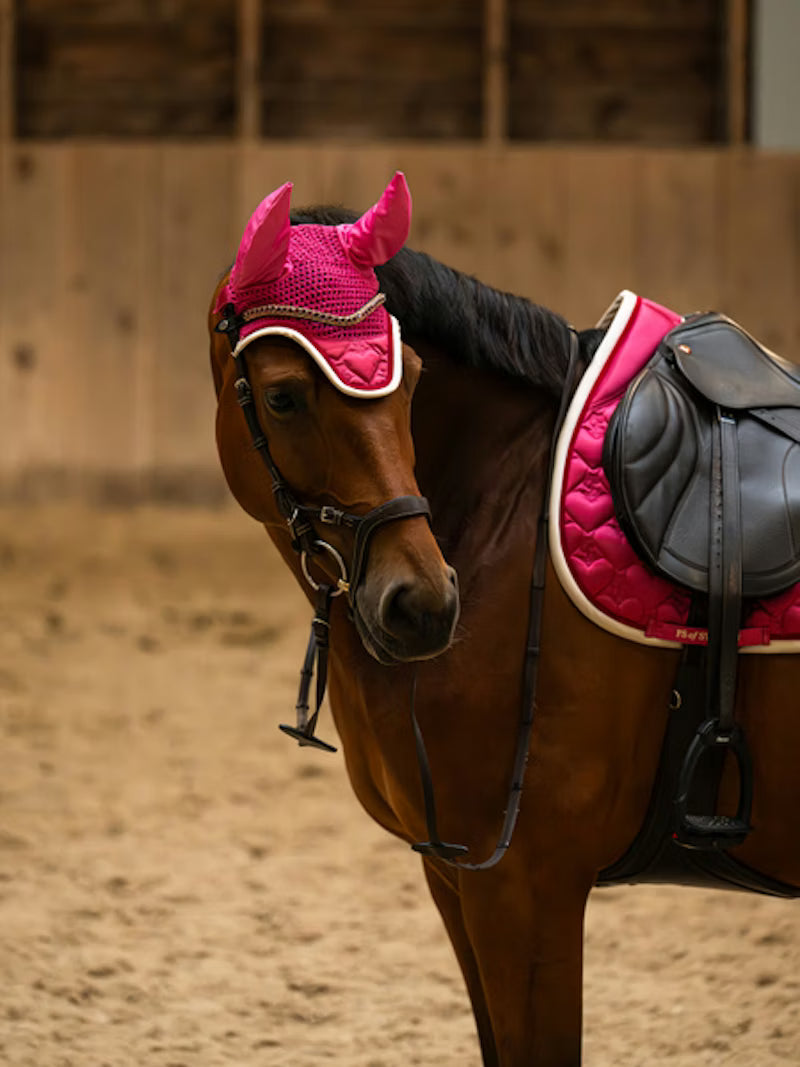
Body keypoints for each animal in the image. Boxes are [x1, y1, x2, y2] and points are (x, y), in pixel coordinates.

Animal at [207, 173, 800, 1066]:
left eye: (412, 378)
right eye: (281, 395)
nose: (423, 603)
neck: (510, 512)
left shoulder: (525, 889)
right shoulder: (457, 878)